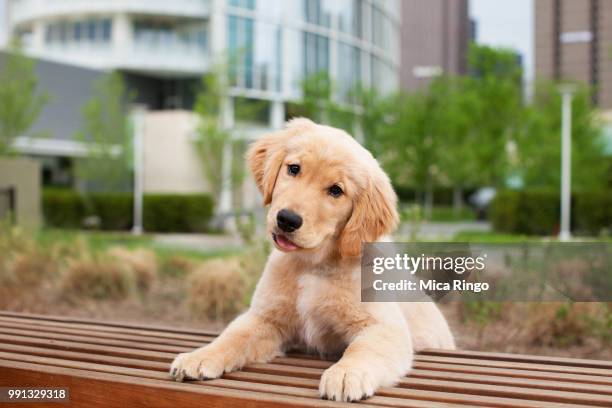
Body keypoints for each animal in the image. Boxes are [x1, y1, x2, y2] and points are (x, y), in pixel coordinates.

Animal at [169, 118, 454, 402]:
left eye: (336, 190)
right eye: (294, 169)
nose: (287, 219)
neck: (312, 264)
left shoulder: (383, 327)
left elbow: (363, 349)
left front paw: (346, 374)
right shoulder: (266, 318)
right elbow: (233, 336)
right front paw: (199, 356)